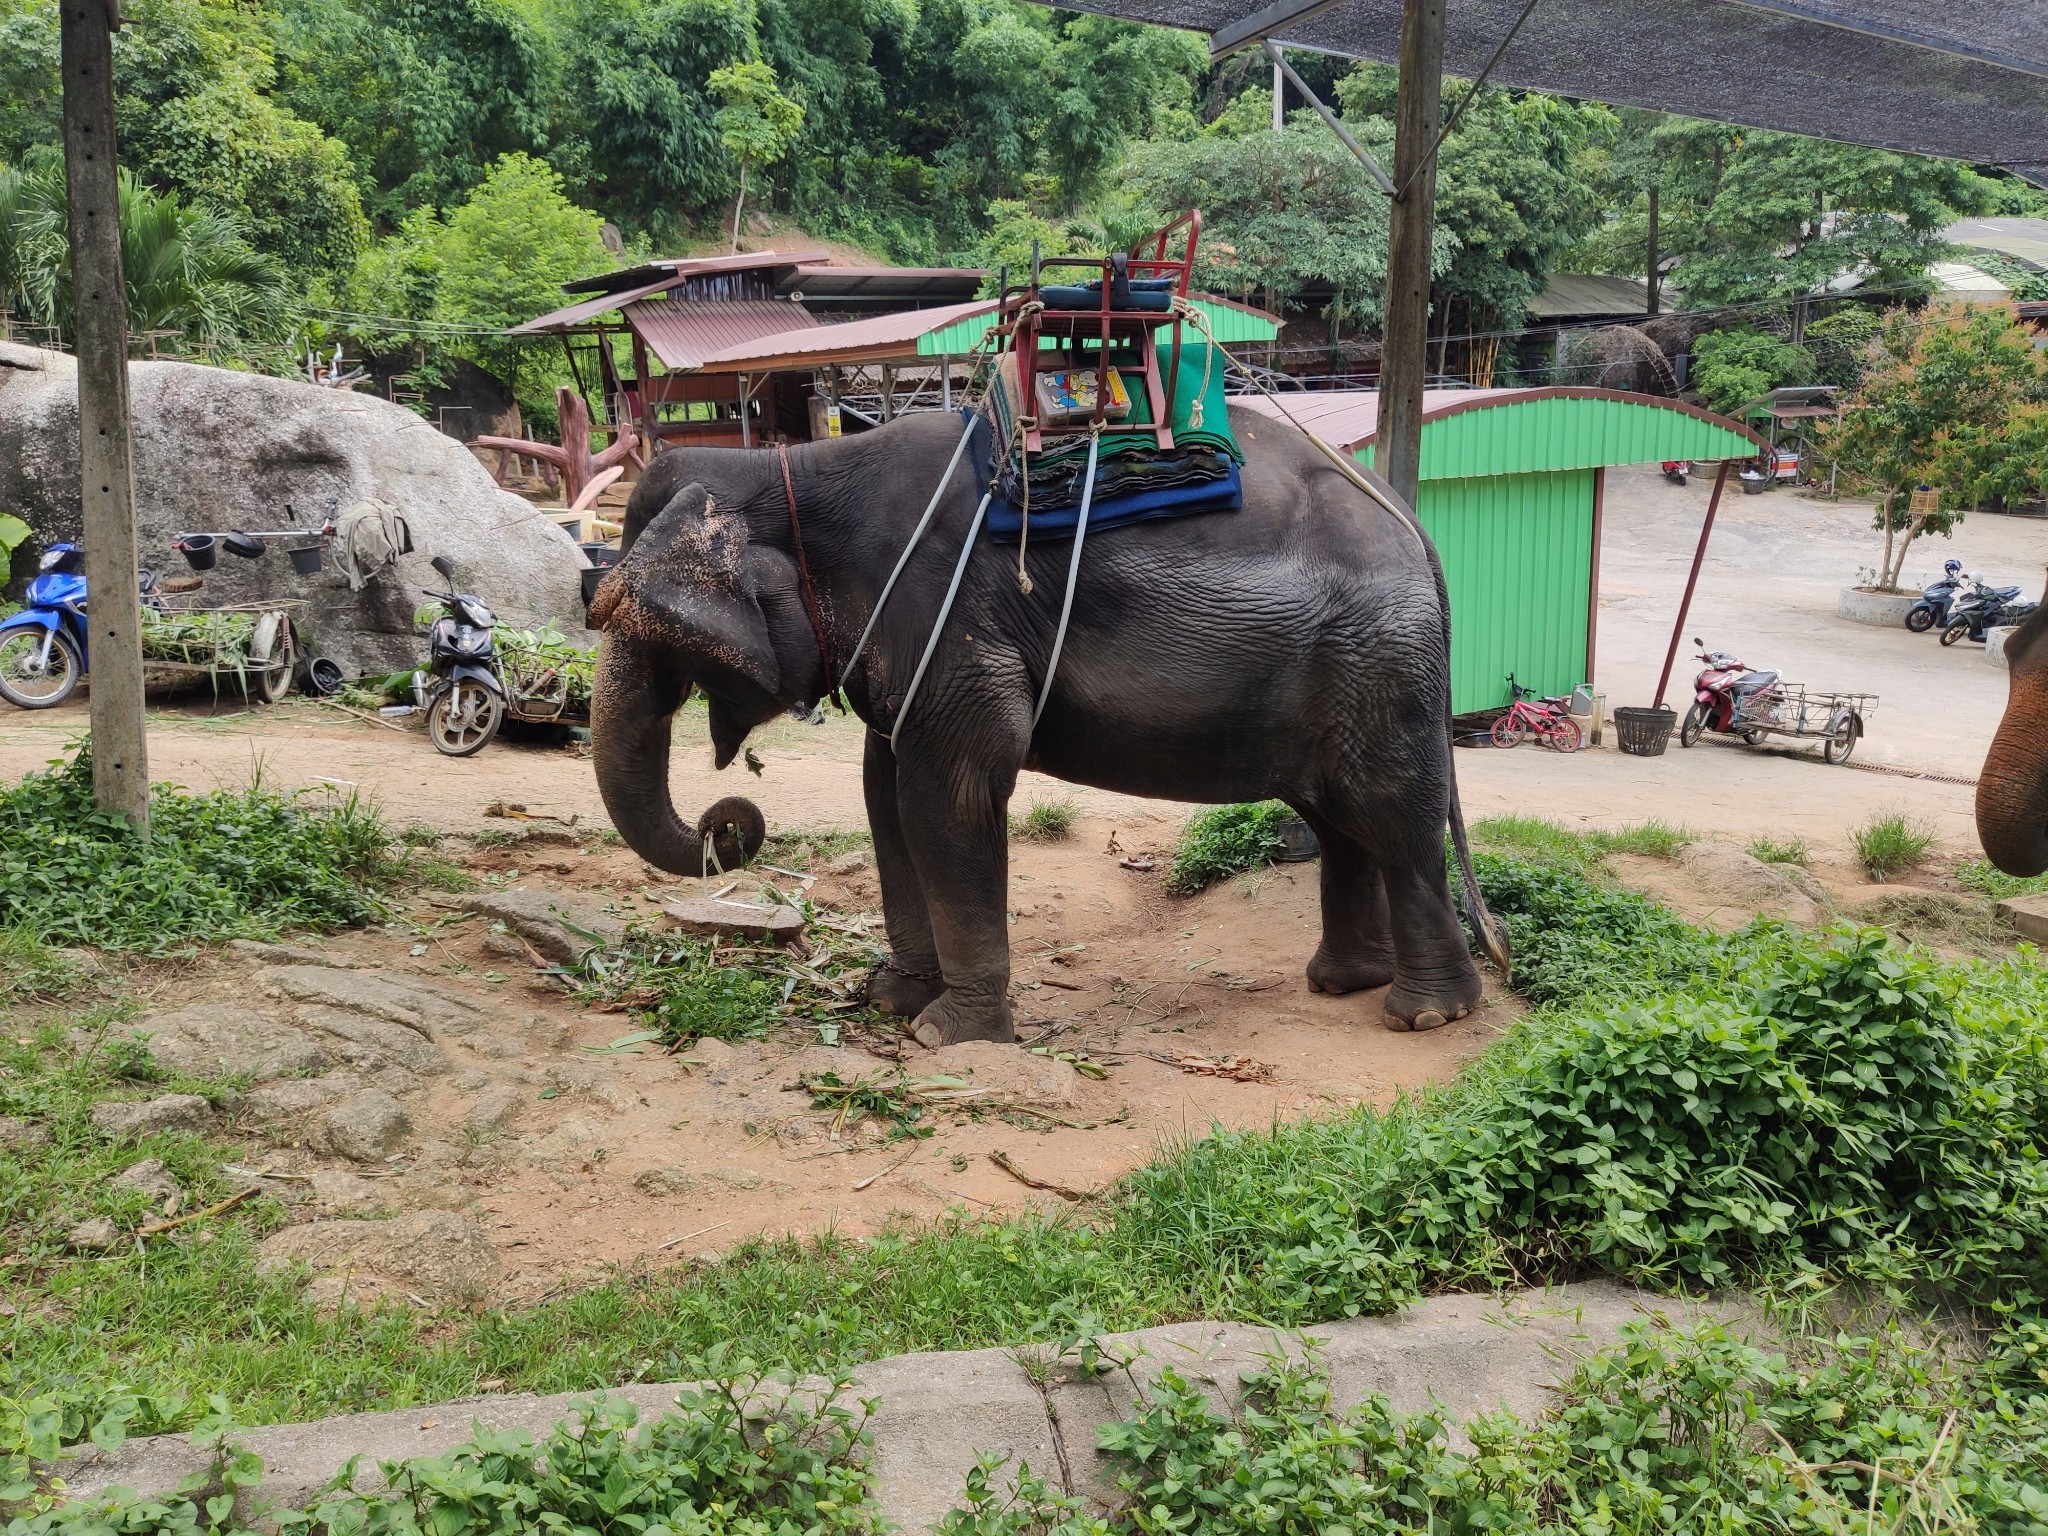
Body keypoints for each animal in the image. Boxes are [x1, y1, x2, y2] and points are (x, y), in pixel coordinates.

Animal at [585, 409, 1515, 1056]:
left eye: (656, 634)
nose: (728, 823)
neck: (796, 468)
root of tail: (1411, 523)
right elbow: (886, 796)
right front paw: (890, 1000)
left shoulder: (952, 618)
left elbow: (947, 798)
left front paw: (943, 1038)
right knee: (1338, 819)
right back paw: (1343, 984)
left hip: (1377, 663)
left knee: (1388, 817)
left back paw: (1426, 1016)